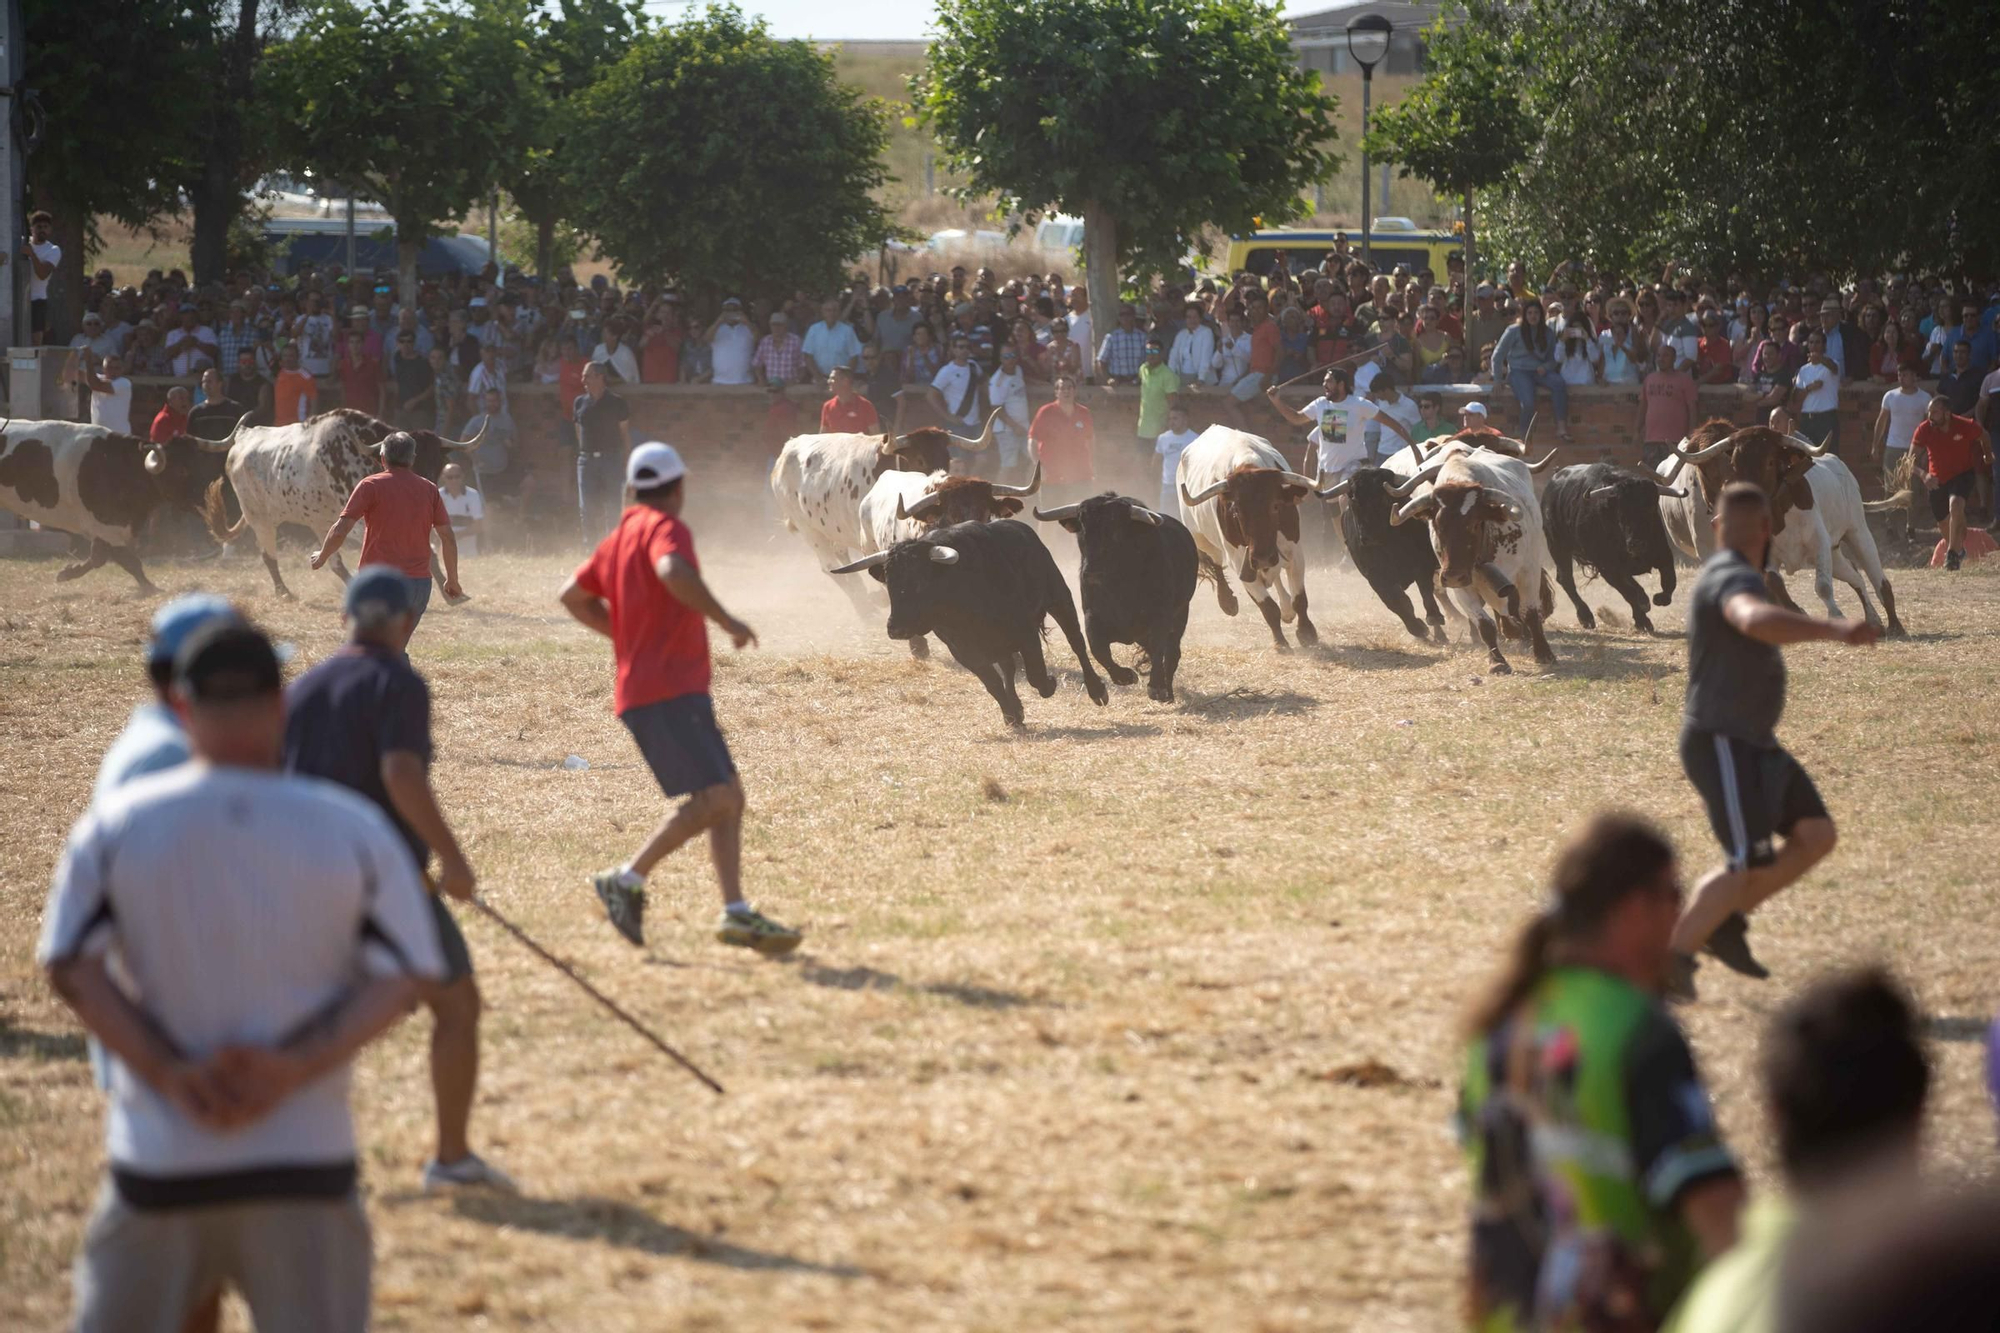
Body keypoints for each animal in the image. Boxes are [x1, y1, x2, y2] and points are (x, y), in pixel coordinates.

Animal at [0, 420, 236, 592]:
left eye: (200, 464)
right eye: (181, 471)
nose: (210, 498)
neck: (118, 467)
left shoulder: (107, 529)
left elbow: (99, 558)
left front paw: (68, 571)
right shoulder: (106, 528)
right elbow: (128, 561)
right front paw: (150, 587)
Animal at [205, 402, 482, 592]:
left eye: (438, 462)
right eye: (414, 462)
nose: (425, 490)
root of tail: (241, 437)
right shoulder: (359, 520)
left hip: (318, 522)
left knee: (333, 562)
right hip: (260, 518)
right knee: (269, 555)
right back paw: (284, 592)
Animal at [824, 520, 1112, 728]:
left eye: (920, 580)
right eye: (890, 582)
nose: (896, 629)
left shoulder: (1025, 632)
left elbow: (1035, 674)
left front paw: (1049, 685)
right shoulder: (963, 650)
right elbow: (992, 682)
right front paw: (1011, 714)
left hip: (1060, 599)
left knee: (1077, 644)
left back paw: (1098, 689)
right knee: (1007, 667)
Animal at [1320, 466, 1448, 644]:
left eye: (1384, 499)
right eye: (1353, 499)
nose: (1368, 537)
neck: (1388, 544)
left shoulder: (1421, 565)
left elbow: (1425, 592)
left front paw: (1434, 619)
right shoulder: (1376, 578)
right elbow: (1397, 603)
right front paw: (1417, 628)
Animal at [1544, 460, 1688, 632]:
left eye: (1651, 509)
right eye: (1621, 513)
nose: (1637, 544)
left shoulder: (1664, 555)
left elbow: (1669, 582)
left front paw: (1657, 599)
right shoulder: (1607, 568)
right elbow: (1628, 593)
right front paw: (1643, 620)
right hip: (1557, 546)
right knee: (1565, 579)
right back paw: (1586, 617)